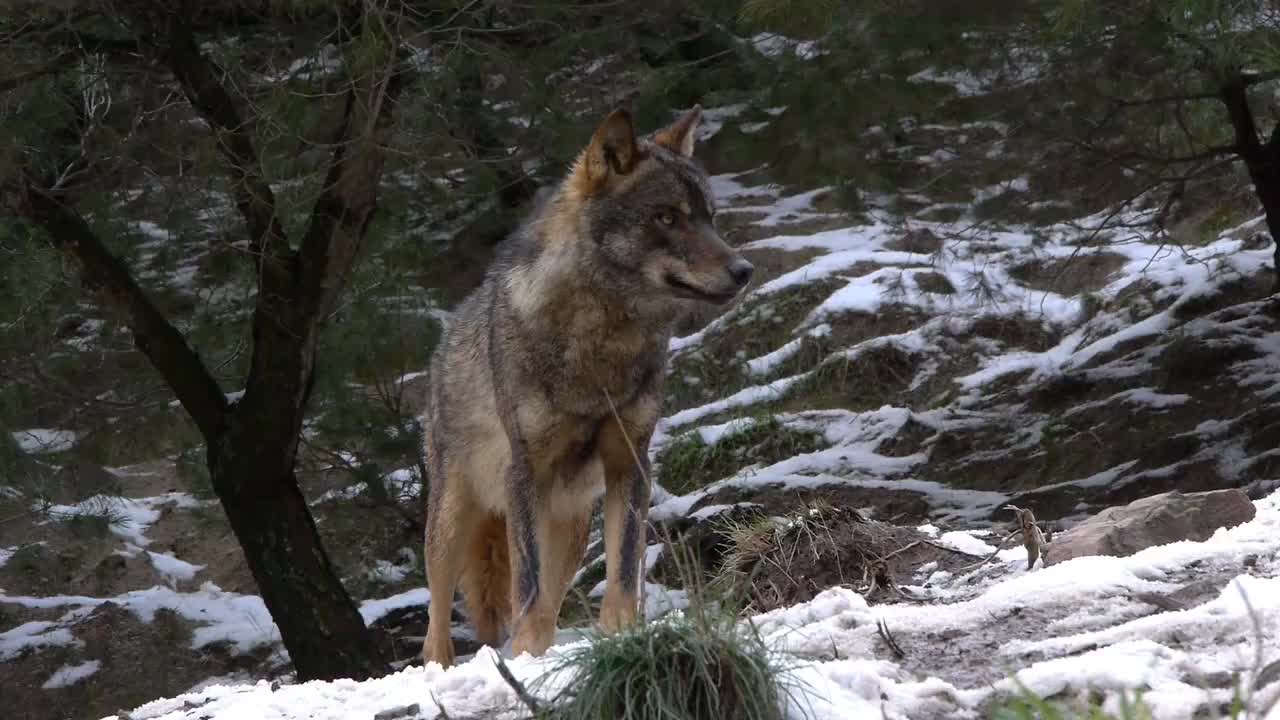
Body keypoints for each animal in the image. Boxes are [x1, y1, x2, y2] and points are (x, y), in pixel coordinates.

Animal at [424, 103, 752, 666]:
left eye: (709, 216)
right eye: (667, 217)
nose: (744, 270)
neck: (602, 341)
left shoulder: (630, 462)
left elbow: (622, 570)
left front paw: (622, 635)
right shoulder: (525, 474)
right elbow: (527, 589)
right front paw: (528, 657)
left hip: (573, 523)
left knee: (552, 598)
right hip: (452, 524)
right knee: (436, 627)